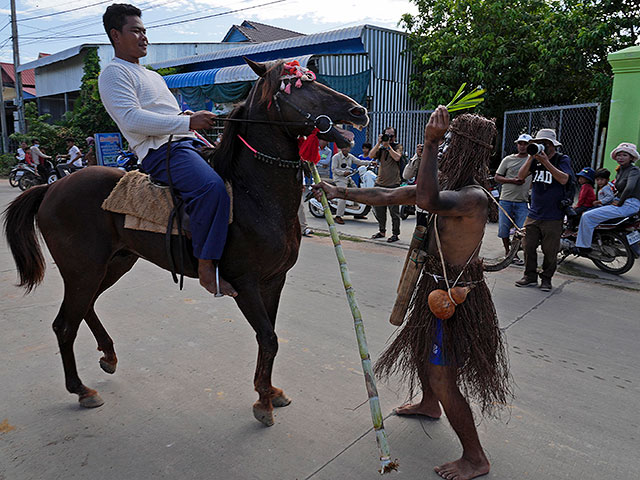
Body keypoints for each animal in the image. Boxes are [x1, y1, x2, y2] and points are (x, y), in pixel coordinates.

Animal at [3, 58, 370, 426]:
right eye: (298, 86)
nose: (359, 111)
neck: (254, 193)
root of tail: (51, 187)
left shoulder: (273, 281)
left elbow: (268, 337)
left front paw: (268, 391)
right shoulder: (245, 283)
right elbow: (268, 337)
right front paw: (264, 402)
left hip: (114, 264)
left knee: (86, 308)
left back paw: (108, 355)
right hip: (83, 270)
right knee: (65, 325)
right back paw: (81, 390)